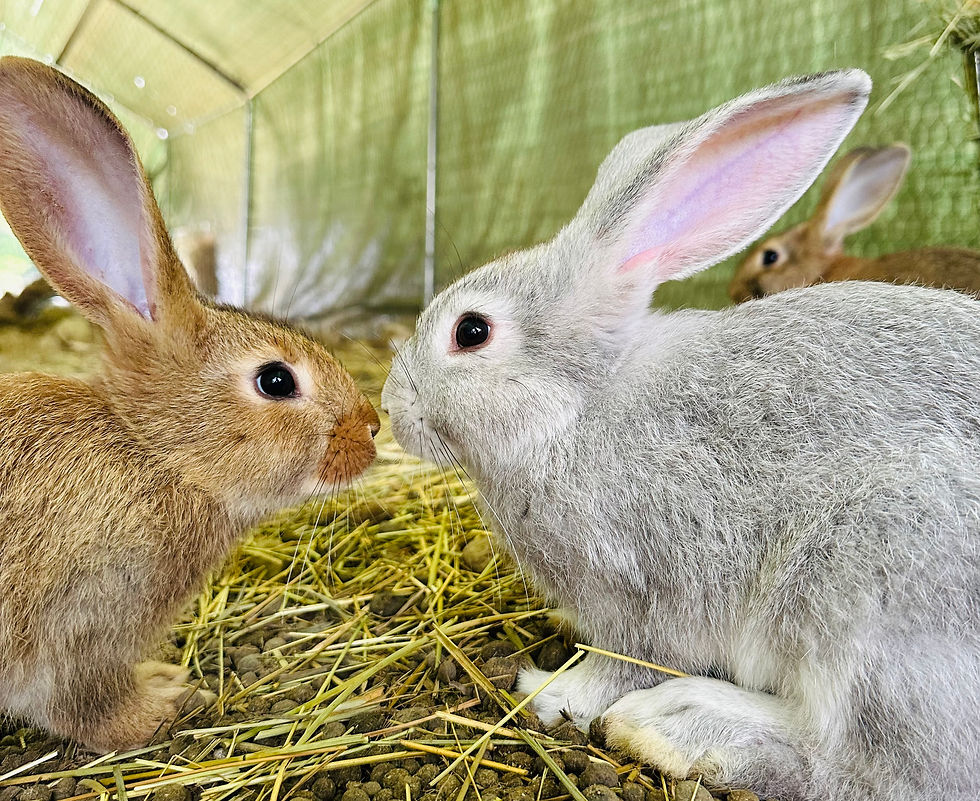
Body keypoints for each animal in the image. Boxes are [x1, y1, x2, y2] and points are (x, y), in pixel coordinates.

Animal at [0, 57, 380, 753]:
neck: (156, 456)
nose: (369, 429)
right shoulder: (80, 624)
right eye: (276, 381)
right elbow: (84, 706)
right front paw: (162, 705)